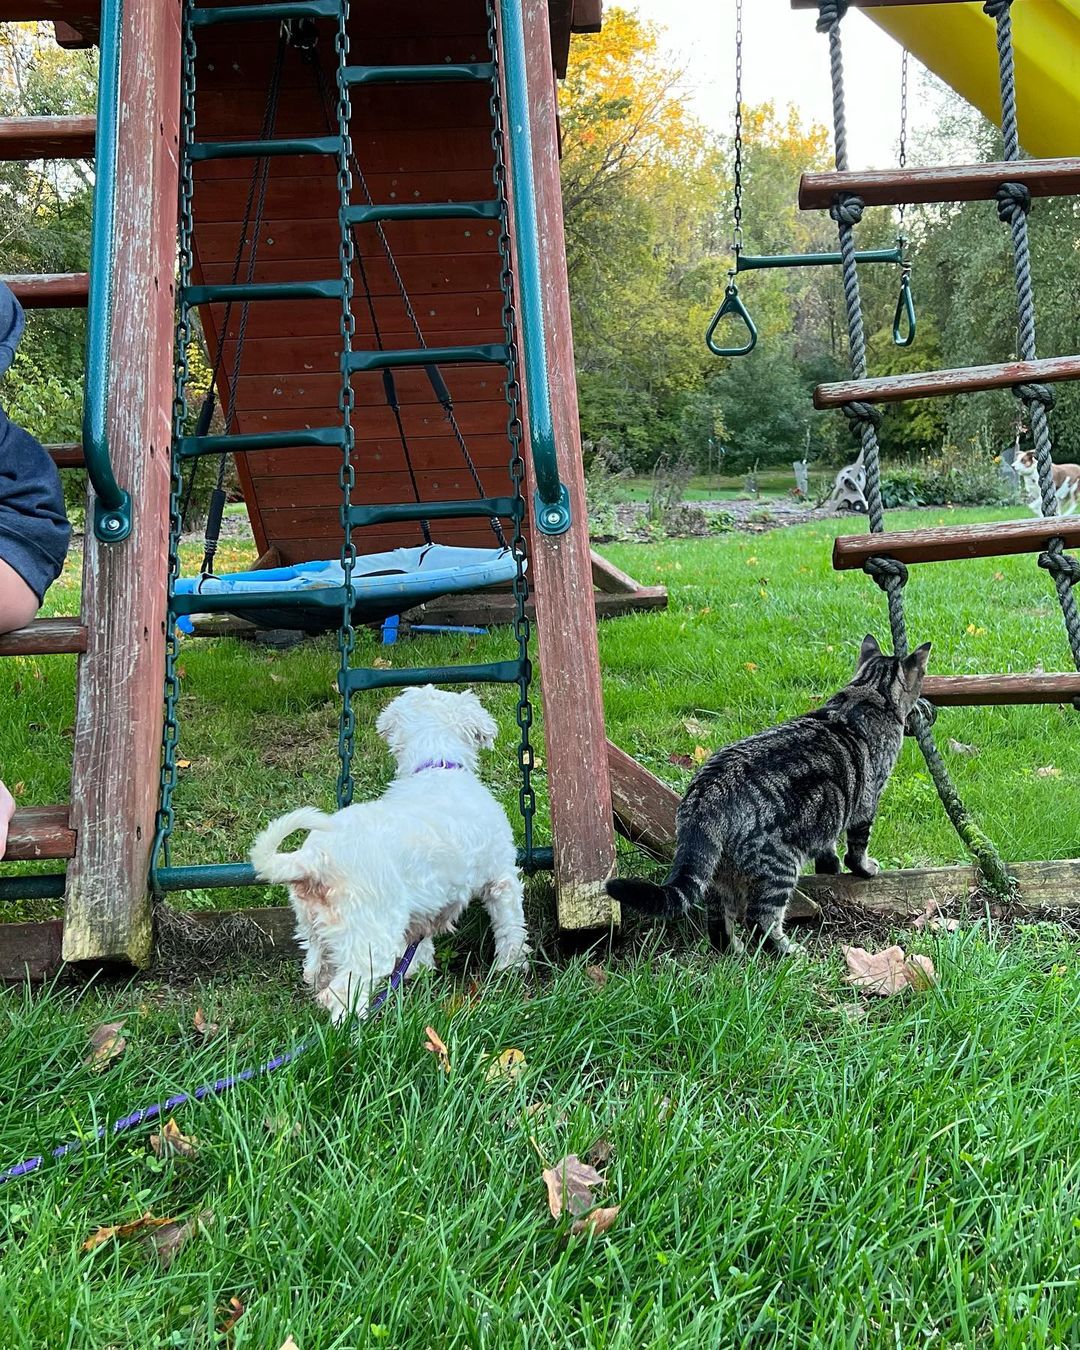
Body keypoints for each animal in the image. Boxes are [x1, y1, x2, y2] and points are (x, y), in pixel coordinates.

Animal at [248, 685, 526, 1020]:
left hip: (315, 930)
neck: (436, 766)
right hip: (370, 937)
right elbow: (510, 925)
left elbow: (419, 948)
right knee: (342, 993)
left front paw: (418, 972)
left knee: (316, 973)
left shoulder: (424, 907)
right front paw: (512, 966)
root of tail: (314, 860)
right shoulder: (501, 877)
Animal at [607, 637, 928, 955]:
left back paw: (733, 951)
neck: (868, 692)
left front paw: (830, 865)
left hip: (720, 871)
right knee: (760, 920)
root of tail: (709, 792)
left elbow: (827, 845)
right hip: (778, 866)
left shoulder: (828, 818)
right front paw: (864, 868)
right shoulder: (867, 802)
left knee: (719, 920)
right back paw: (788, 951)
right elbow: (858, 847)